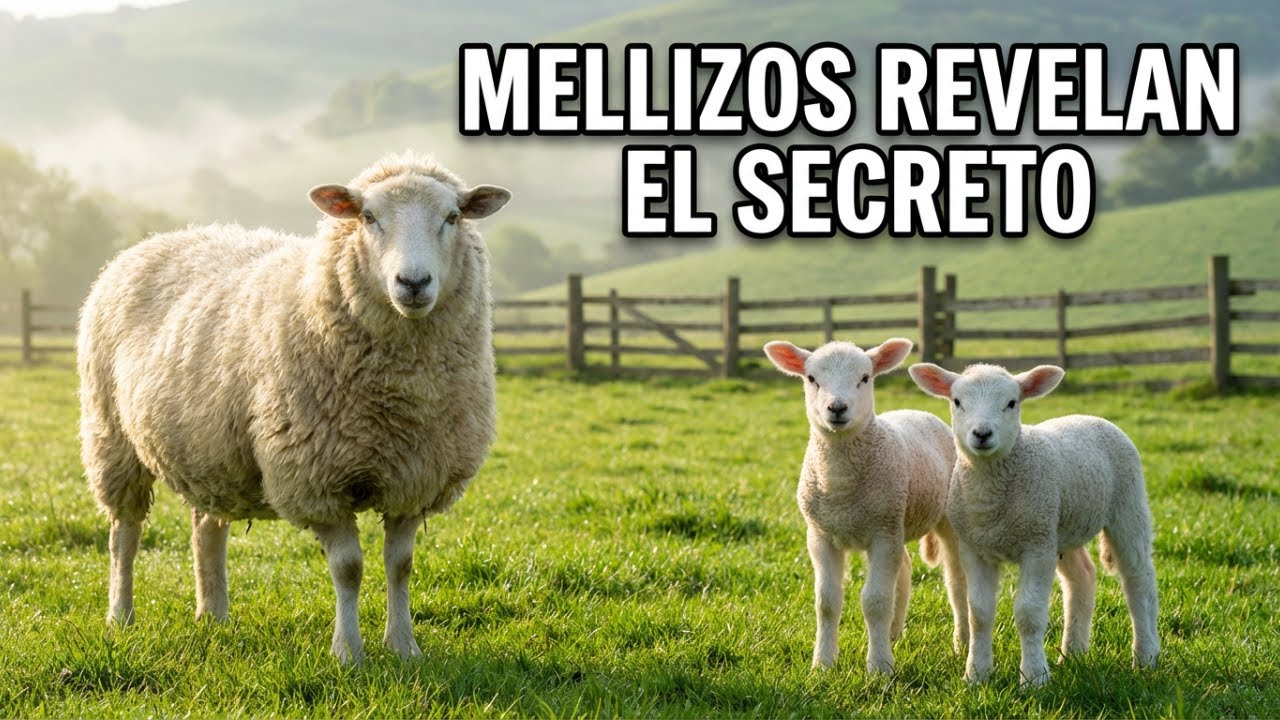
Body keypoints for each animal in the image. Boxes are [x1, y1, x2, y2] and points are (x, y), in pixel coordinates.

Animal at [77, 151, 510, 663]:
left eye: (453, 216)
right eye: (368, 217)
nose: (413, 282)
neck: (403, 397)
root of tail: (154, 241)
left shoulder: (415, 477)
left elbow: (400, 565)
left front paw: (404, 648)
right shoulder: (316, 479)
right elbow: (348, 569)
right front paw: (349, 653)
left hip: (211, 452)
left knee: (206, 529)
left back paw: (213, 614)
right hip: (112, 437)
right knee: (123, 535)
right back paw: (120, 615)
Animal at [764, 339, 968, 676]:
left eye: (864, 378)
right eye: (811, 378)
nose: (837, 408)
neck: (841, 488)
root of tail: (917, 411)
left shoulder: (882, 535)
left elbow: (875, 601)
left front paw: (879, 667)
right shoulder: (820, 535)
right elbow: (827, 602)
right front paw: (823, 664)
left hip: (943, 522)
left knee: (956, 581)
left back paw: (961, 642)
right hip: (896, 523)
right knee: (905, 568)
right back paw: (894, 632)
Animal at [908, 362, 1159, 687]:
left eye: (1011, 403)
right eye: (957, 402)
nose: (982, 433)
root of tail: (1091, 417)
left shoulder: (1036, 547)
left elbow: (1029, 613)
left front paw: (1034, 677)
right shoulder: (975, 548)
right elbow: (979, 613)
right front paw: (976, 675)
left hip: (1127, 506)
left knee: (1139, 580)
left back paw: (1146, 656)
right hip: (1060, 527)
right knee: (1082, 576)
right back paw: (1073, 652)